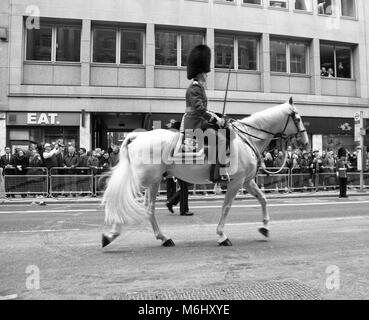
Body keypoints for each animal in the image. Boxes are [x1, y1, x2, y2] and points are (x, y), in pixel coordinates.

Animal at [100, 97, 308, 248]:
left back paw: (163, 238)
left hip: (154, 181)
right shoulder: (236, 182)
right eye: (297, 119)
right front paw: (222, 235)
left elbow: (263, 199)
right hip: (144, 179)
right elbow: (226, 207)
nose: (305, 142)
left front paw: (264, 227)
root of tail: (138, 136)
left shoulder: (247, 181)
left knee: (148, 209)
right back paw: (112, 234)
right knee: (121, 199)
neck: (247, 139)